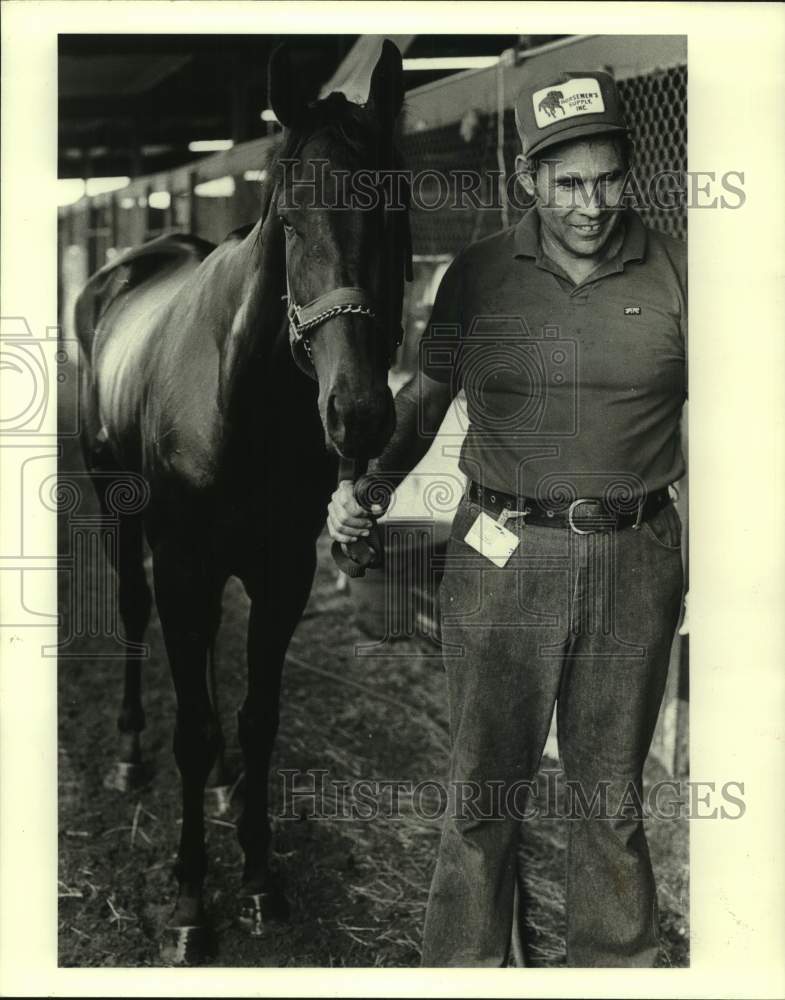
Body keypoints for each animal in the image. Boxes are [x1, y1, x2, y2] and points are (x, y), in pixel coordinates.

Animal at [72, 43, 410, 964]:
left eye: (394, 216)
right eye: (289, 222)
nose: (358, 415)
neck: (240, 400)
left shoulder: (280, 572)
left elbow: (258, 719)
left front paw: (258, 874)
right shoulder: (184, 563)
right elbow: (188, 727)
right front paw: (191, 900)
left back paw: (223, 780)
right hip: (120, 514)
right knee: (132, 611)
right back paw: (127, 751)